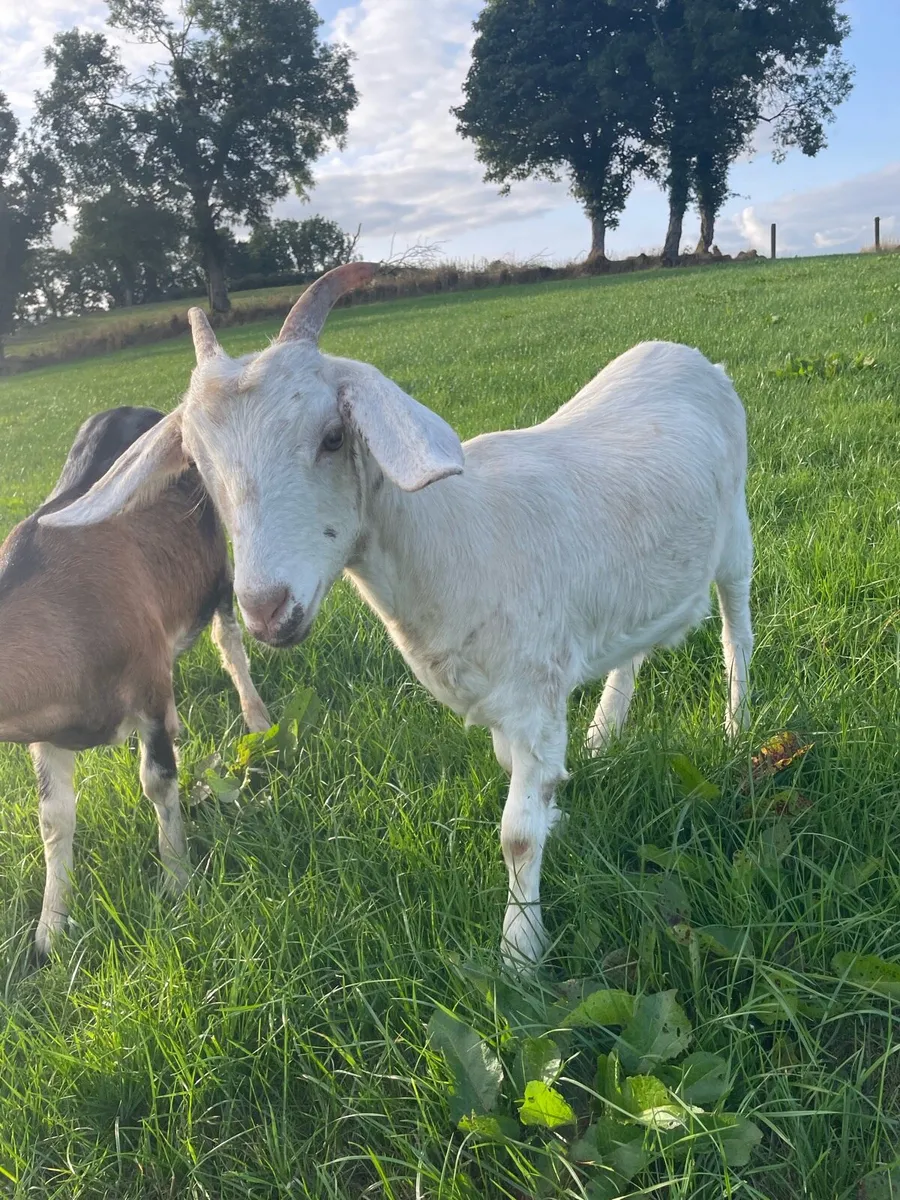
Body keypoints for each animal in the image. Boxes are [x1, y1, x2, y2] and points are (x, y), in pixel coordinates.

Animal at [2, 406, 270, 958]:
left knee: (229, 640)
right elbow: (54, 818)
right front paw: (49, 932)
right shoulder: (45, 732)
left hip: (214, 571)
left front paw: (178, 882)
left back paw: (256, 718)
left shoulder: (145, 689)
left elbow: (158, 781)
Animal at [43, 265, 754, 969]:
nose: (267, 609)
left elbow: (517, 835)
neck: (453, 532)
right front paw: (562, 814)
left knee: (736, 633)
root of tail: (682, 353)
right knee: (634, 647)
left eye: (333, 437)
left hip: (736, 538)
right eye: (196, 465)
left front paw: (519, 957)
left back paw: (738, 728)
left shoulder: (533, 695)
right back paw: (607, 730)